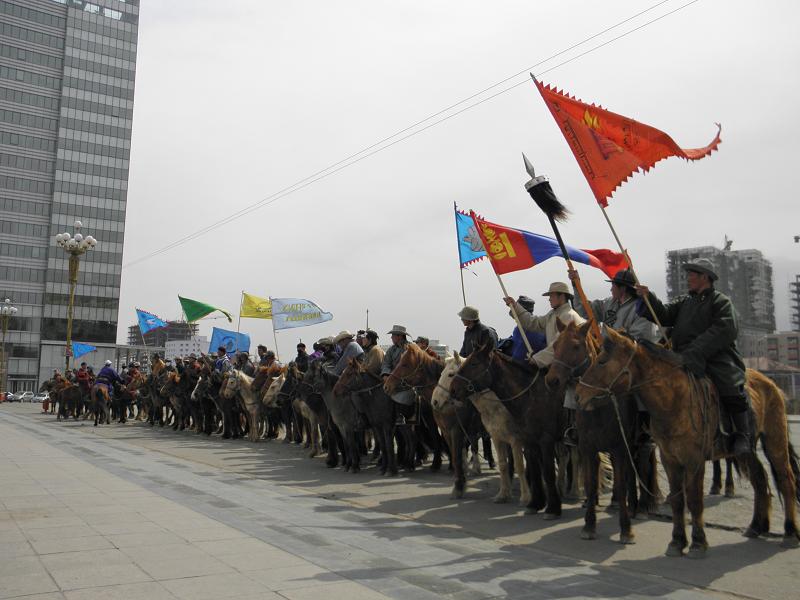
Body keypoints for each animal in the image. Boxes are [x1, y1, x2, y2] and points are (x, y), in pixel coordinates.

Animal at [450, 342, 568, 520]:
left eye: (474, 363)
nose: (453, 390)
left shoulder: (540, 440)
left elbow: (542, 471)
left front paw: (549, 507)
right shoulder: (522, 440)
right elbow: (526, 468)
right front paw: (531, 502)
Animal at [548, 322, 660, 548]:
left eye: (575, 346)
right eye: (555, 345)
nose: (552, 380)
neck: (599, 406)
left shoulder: (619, 448)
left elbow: (620, 482)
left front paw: (626, 530)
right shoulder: (588, 448)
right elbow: (591, 484)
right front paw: (589, 526)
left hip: (639, 443)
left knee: (642, 465)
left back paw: (641, 508)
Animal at [576, 326, 800, 556]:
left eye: (602, 361)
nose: (578, 394)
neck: (673, 399)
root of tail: (772, 384)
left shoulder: (694, 459)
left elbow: (694, 499)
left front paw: (698, 543)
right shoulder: (669, 458)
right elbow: (677, 500)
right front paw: (677, 542)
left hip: (774, 439)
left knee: (786, 480)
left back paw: (790, 533)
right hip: (746, 451)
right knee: (760, 479)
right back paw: (756, 526)